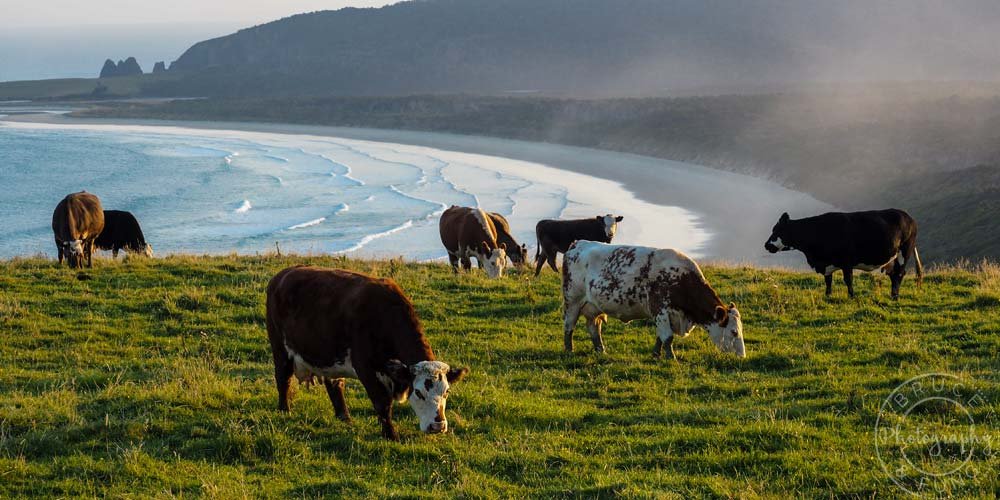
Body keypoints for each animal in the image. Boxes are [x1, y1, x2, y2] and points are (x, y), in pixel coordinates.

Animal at [264, 268, 470, 440]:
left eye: (447, 391)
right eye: (418, 392)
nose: (437, 426)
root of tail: (281, 275)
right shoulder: (365, 368)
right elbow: (382, 403)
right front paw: (390, 435)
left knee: (335, 385)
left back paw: (345, 417)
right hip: (280, 349)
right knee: (283, 378)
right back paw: (284, 410)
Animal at [560, 240, 748, 358]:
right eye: (734, 332)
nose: (742, 356)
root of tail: (578, 244)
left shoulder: (667, 315)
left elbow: (660, 337)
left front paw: (656, 355)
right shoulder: (660, 309)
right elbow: (668, 337)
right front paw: (671, 358)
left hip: (593, 307)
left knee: (594, 328)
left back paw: (601, 350)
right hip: (572, 301)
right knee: (569, 327)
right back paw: (569, 350)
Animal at [764, 209, 920, 298]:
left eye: (777, 230)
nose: (766, 245)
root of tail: (909, 217)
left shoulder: (847, 262)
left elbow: (848, 280)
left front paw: (851, 296)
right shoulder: (827, 264)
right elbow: (828, 281)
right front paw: (827, 296)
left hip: (905, 250)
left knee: (899, 273)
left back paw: (895, 296)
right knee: (893, 274)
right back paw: (893, 294)